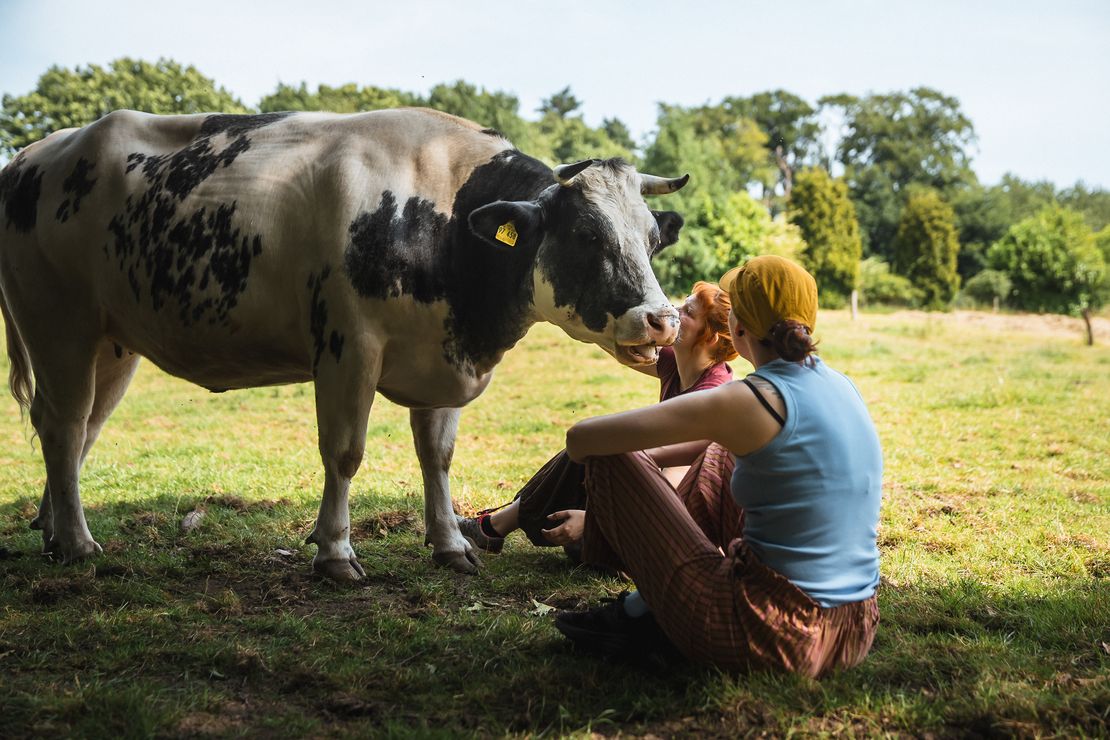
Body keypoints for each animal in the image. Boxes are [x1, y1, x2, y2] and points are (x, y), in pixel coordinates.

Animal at [0, 107, 686, 579]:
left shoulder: (442, 354)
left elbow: (437, 456)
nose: (663, 320)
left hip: (112, 342)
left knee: (82, 430)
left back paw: (54, 531)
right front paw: (333, 553)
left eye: (653, 239)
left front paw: (450, 545)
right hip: (57, 322)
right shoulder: (348, 346)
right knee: (62, 425)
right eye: (588, 237)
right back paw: (80, 545)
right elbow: (345, 453)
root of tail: (34, 153)